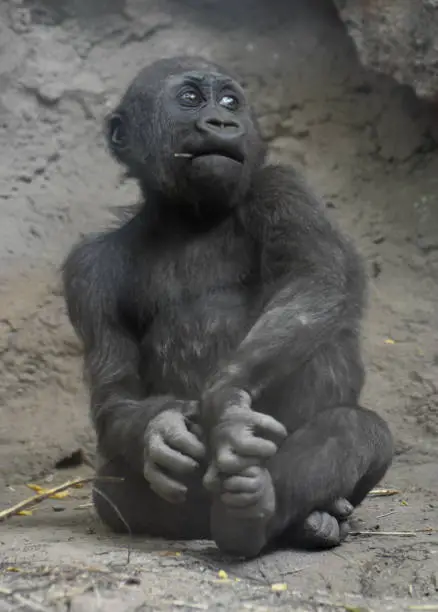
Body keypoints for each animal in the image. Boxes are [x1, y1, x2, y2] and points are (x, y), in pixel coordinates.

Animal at [61, 55, 394, 556]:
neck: (186, 216)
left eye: (230, 100)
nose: (222, 121)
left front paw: (227, 403)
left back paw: (262, 511)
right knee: (110, 489)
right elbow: (116, 392)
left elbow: (313, 281)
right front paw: (162, 431)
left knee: (353, 429)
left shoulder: (283, 187)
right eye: (191, 98)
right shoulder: (87, 271)